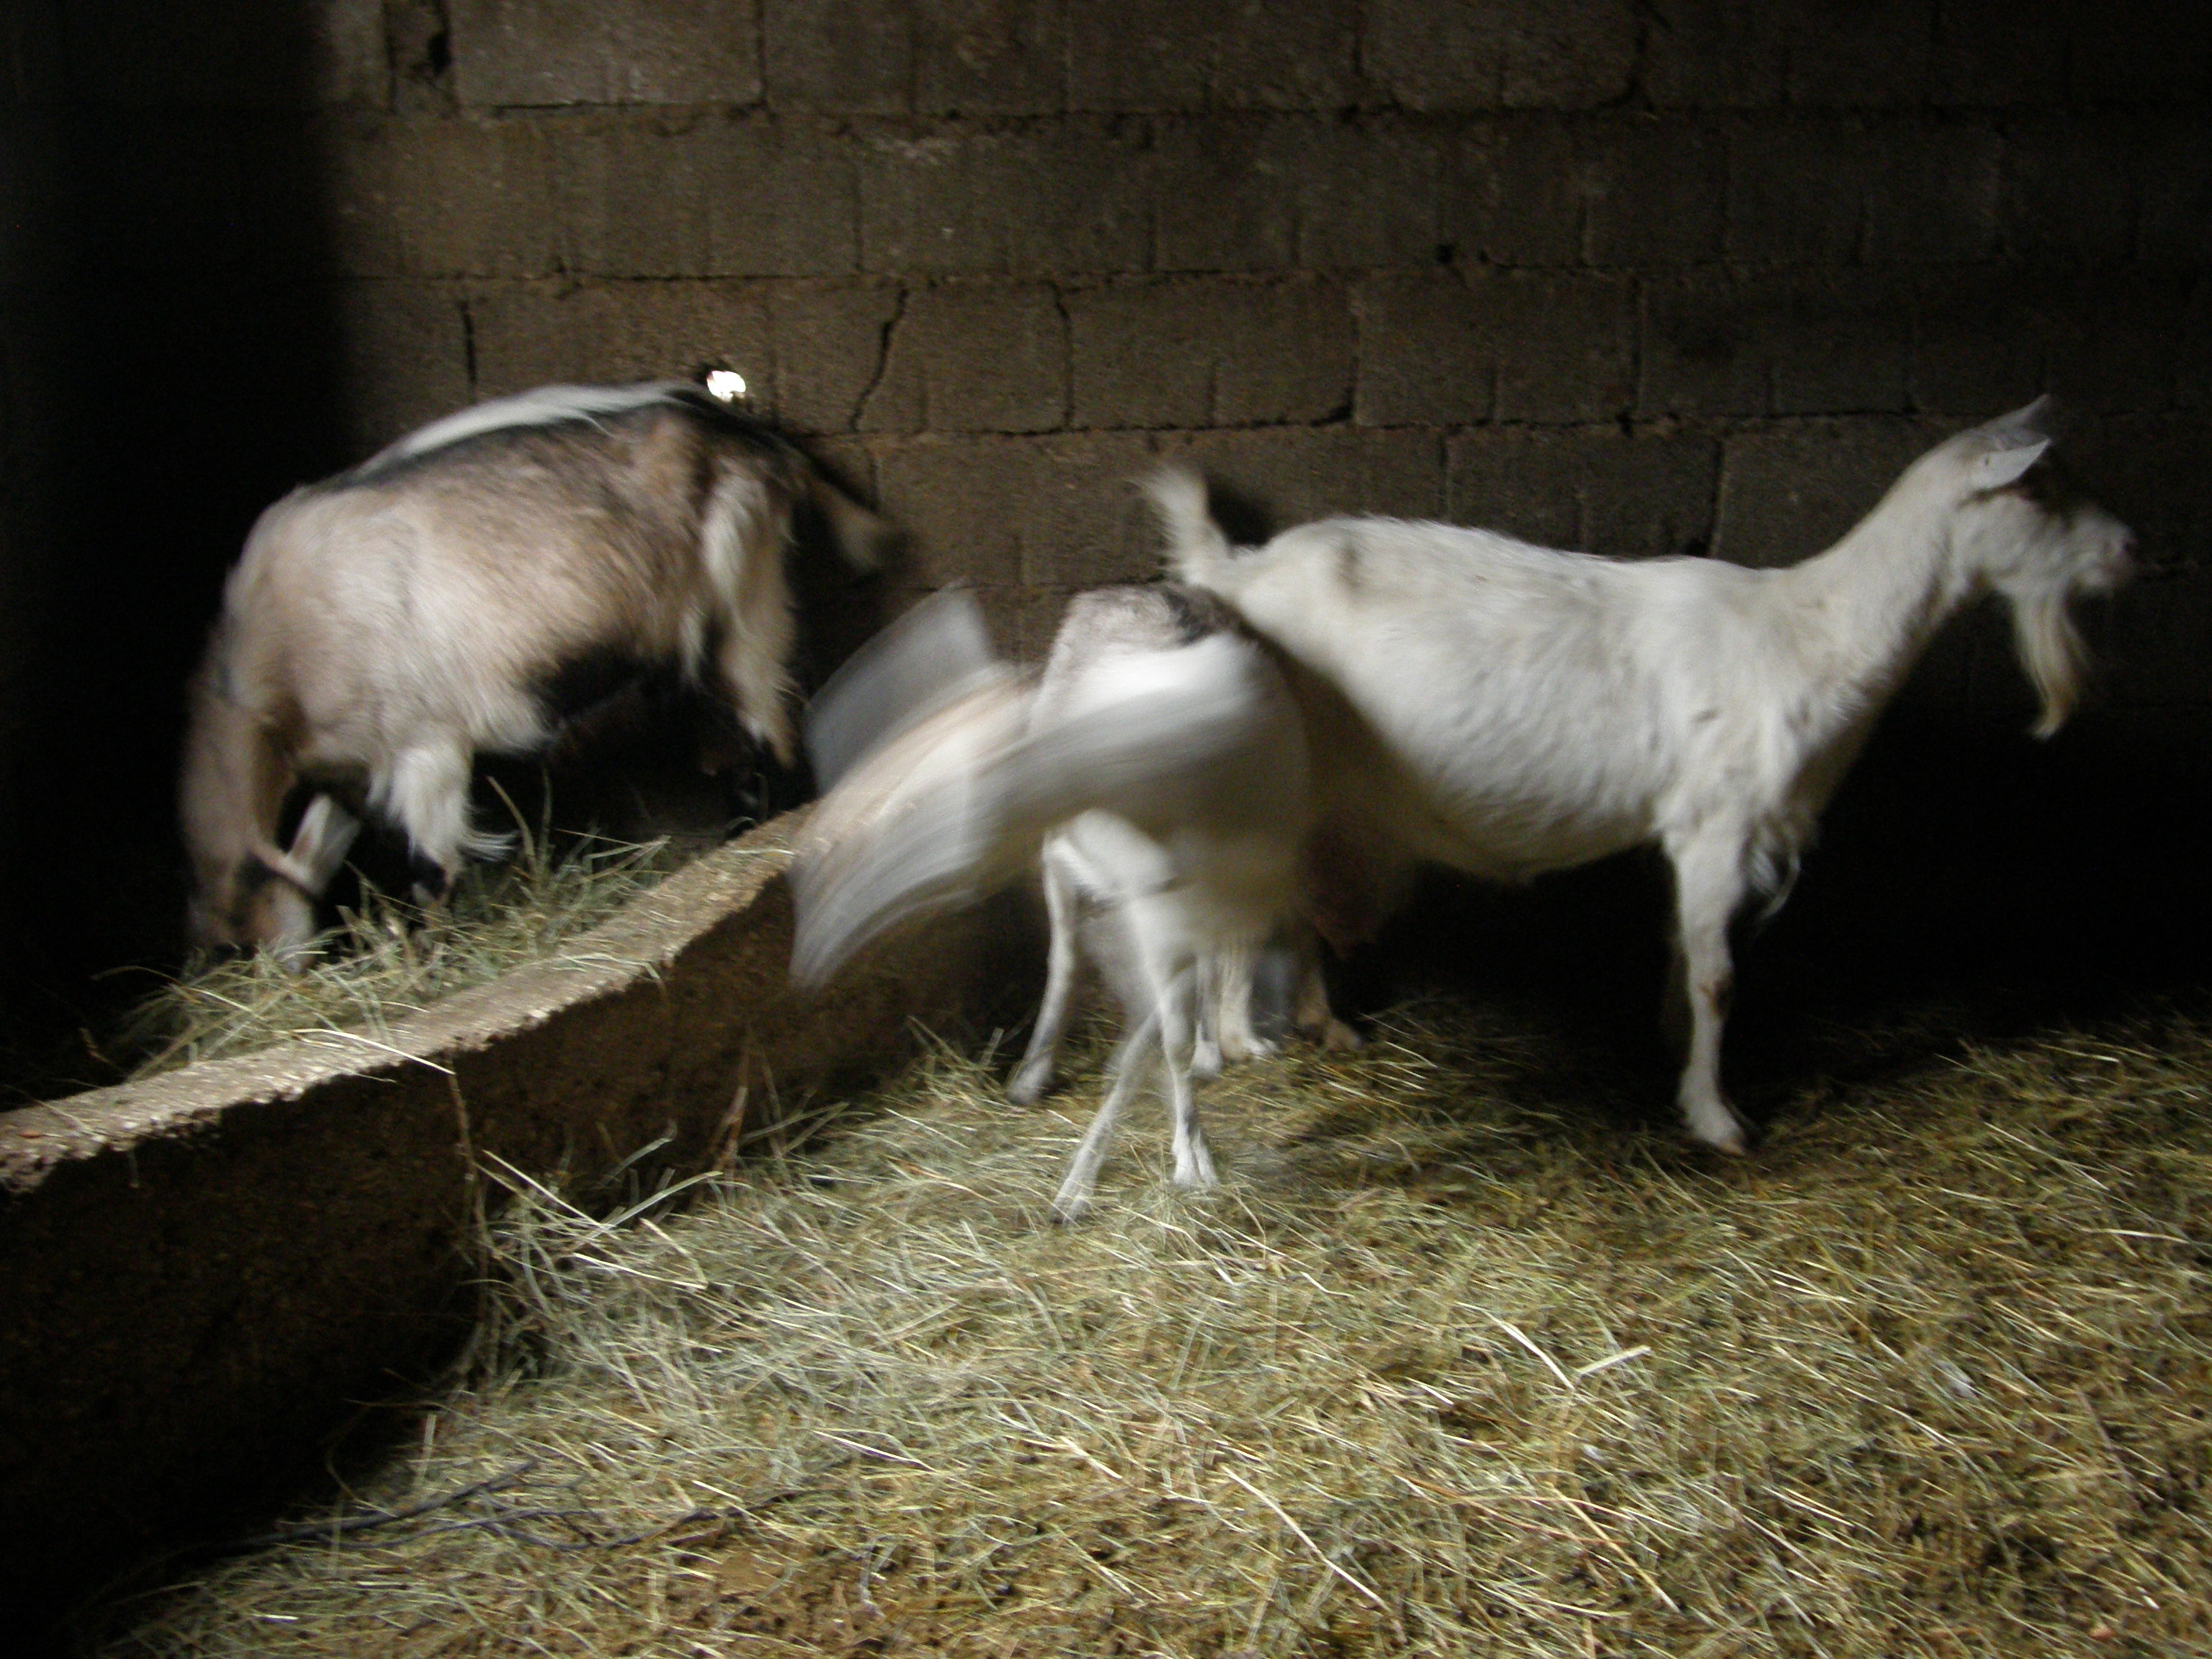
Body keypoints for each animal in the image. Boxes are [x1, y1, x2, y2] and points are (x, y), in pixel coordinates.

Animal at [181, 380, 889, 960]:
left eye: (239, 940)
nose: (280, 973)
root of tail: (744, 431)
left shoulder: (424, 747)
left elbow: (431, 866)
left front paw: (426, 956)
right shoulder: (357, 767)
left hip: (743, 598)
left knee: (772, 717)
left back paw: (760, 828)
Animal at [791, 588, 1318, 1220]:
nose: (812, 956)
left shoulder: (1236, 894)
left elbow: (1189, 1007)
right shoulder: (1150, 911)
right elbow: (1161, 1033)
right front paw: (1180, 1167)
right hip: (1064, 869)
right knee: (1067, 960)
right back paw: (1033, 1077)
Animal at [1150, 403, 2132, 1159]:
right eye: (2035, 488)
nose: (2131, 548)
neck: (1813, 633)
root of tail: (1231, 569)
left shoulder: (1692, 831)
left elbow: (1684, 954)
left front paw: (1677, 1052)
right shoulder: (1719, 824)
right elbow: (1720, 975)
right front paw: (1718, 1117)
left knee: (1289, 911)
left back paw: (1321, 1026)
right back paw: (1235, 1045)